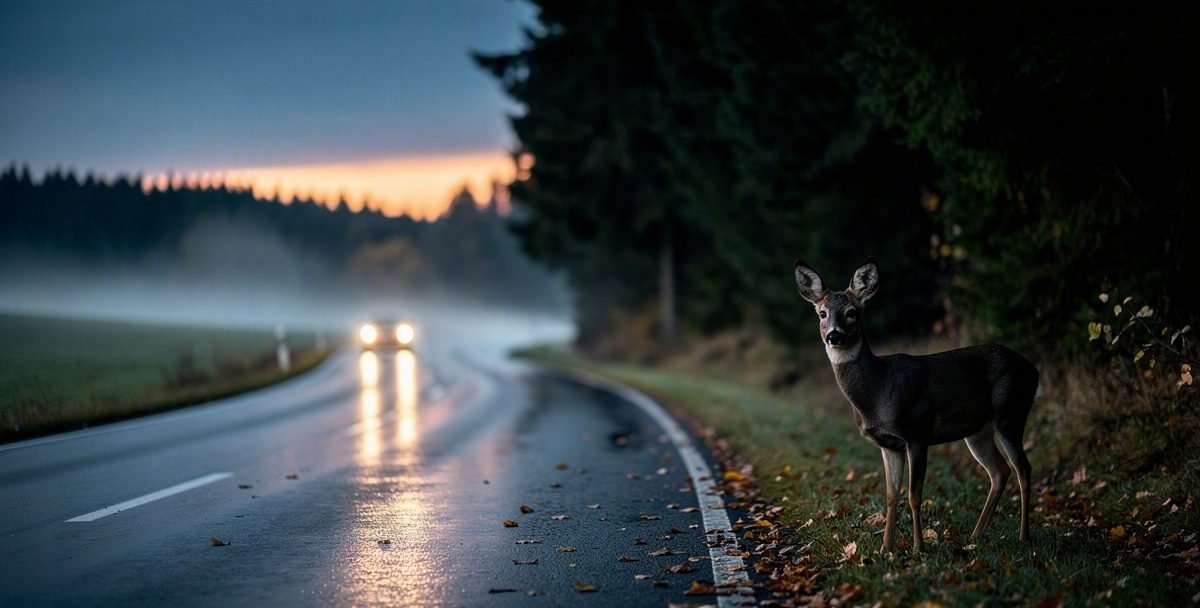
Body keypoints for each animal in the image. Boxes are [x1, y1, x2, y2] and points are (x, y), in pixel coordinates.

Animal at [793, 257, 1040, 553]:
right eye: (822, 313)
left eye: (852, 312)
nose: (834, 335)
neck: (878, 391)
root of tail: (1034, 372)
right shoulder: (888, 444)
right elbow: (891, 494)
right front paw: (885, 549)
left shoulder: (917, 433)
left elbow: (914, 495)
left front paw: (918, 548)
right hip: (978, 431)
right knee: (1000, 472)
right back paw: (974, 537)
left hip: (1010, 413)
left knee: (1023, 468)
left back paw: (1024, 537)